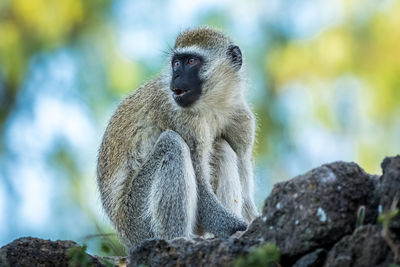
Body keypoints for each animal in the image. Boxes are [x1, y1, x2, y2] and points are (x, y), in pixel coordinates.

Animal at [97, 27, 260, 249]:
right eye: (176, 63)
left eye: (191, 61)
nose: (176, 76)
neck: (213, 105)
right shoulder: (179, 118)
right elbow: (203, 193)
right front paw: (242, 228)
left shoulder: (241, 117)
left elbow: (244, 186)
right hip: (137, 223)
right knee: (172, 143)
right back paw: (177, 240)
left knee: (222, 147)